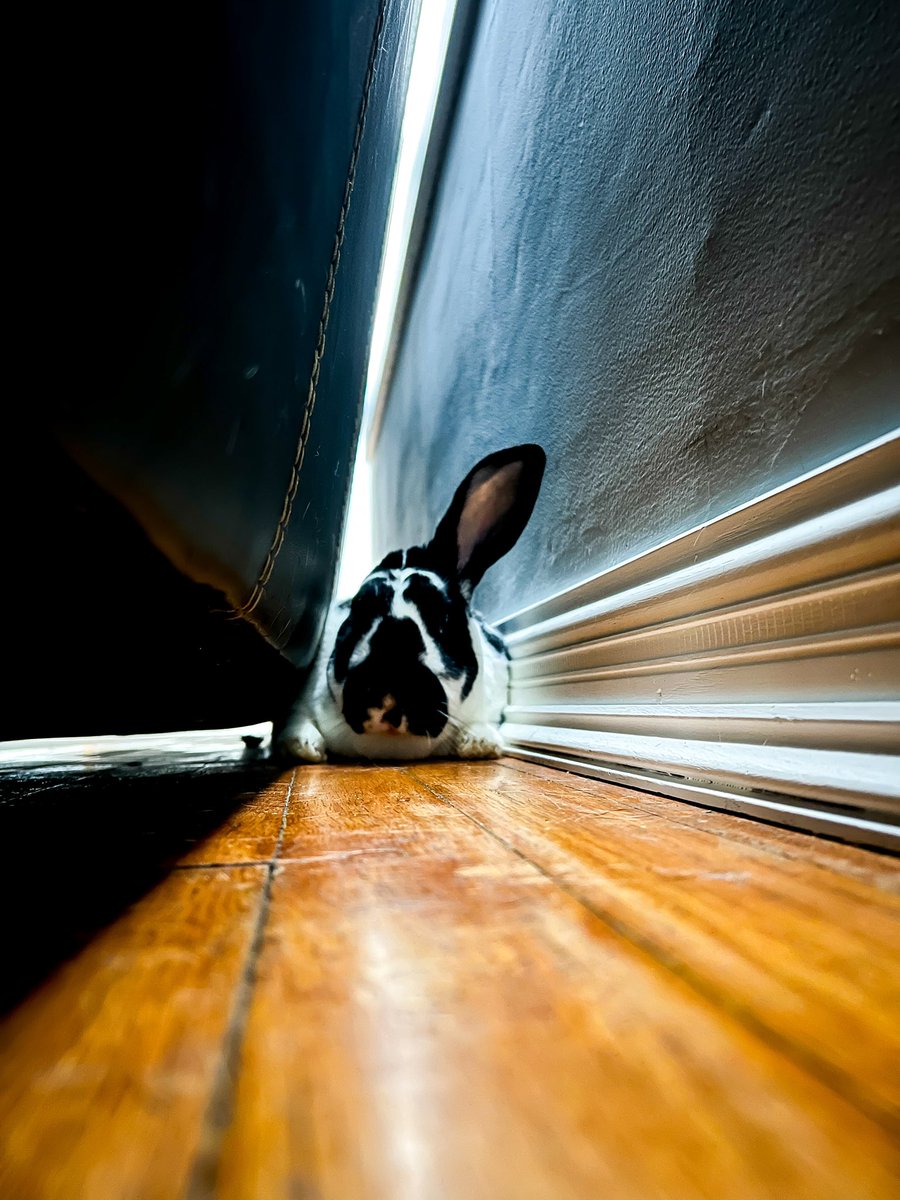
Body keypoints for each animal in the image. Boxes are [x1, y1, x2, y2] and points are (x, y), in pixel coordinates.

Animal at [276, 443, 545, 763]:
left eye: (443, 620)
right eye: (359, 611)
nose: (390, 672)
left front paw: (480, 742)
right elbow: (297, 718)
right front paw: (304, 746)